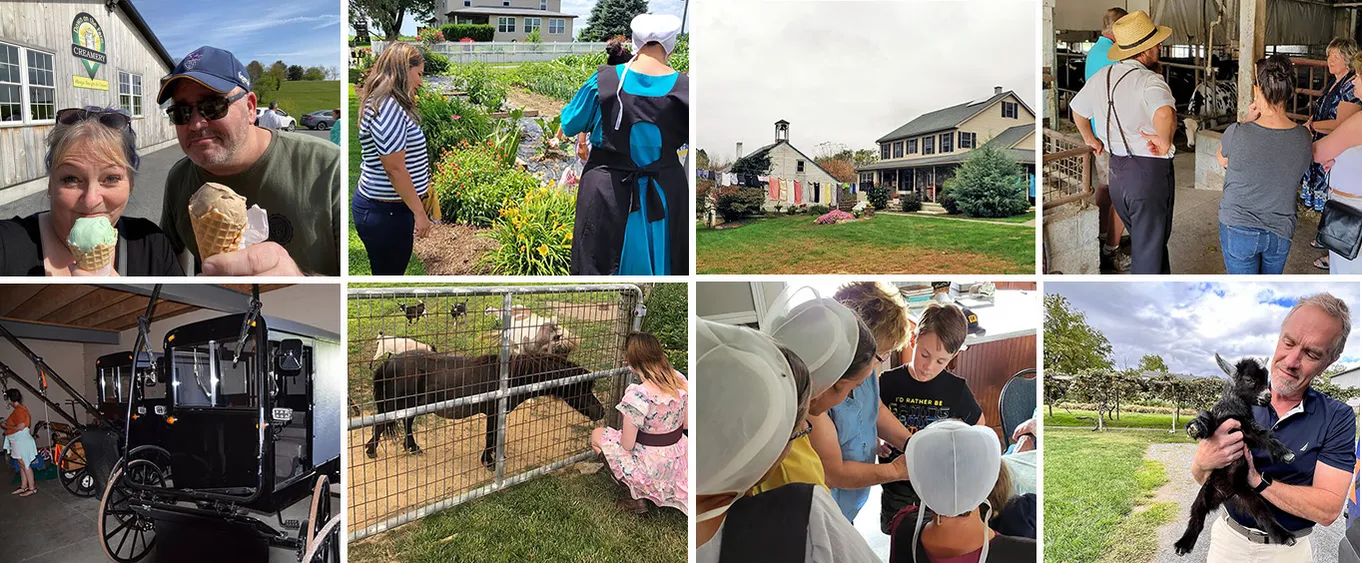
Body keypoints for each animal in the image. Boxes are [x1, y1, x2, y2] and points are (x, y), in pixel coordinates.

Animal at [1171, 351, 1296, 553]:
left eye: (1266, 379)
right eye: (1249, 379)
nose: (1268, 396)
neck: (1233, 409)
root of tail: (1226, 494)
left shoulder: (1247, 430)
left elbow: (1265, 438)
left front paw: (1285, 453)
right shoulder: (1220, 421)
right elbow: (1206, 417)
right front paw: (1195, 427)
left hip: (1248, 495)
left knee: (1263, 515)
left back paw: (1285, 536)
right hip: (1205, 493)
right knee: (1197, 516)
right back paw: (1184, 543)